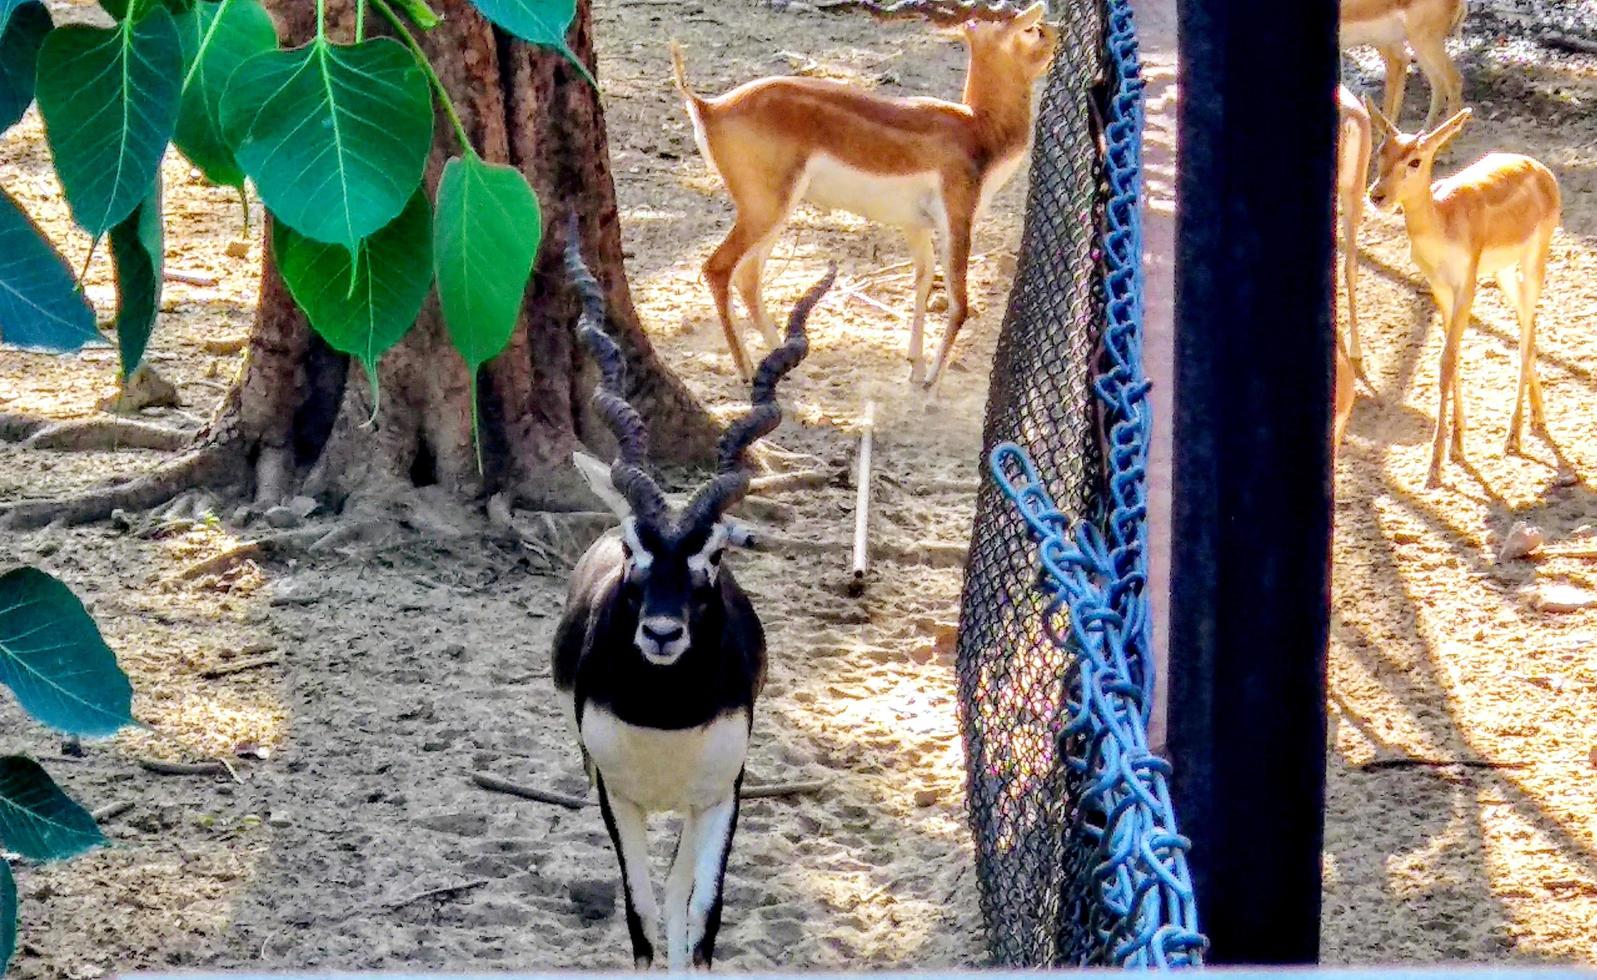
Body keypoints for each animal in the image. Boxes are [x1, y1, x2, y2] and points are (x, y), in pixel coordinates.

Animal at [555, 233, 836, 976]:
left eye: (714, 555)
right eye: (633, 547)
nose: (660, 633)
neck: (665, 713)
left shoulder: (720, 796)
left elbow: (701, 916)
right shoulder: (615, 793)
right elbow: (642, 919)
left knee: (683, 891)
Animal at [670, 0, 1060, 391]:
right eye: (1031, 29)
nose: (1056, 33)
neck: (979, 128)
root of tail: (710, 107)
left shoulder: (915, 226)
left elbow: (922, 280)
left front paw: (914, 365)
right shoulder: (957, 216)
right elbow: (959, 302)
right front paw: (931, 382)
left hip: (776, 211)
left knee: (748, 277)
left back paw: (784, 362)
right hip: (766, 208)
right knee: (719, 268)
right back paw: (747, 370)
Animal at [1367, 106, 1565, 488]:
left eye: (1415, 160)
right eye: (1381, 151)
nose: (1377, 195)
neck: (1442, 222)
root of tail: (1540, 169)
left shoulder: (1466, 287)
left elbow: (1446, 361)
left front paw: (1434, 468)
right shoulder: (1440, 288)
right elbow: (1452, 357)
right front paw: (1457, 447)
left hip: (1534, 260)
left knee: (1526, 330)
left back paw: (1513, 435)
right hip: (1503, 272)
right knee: (1527, 322)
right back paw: (1537, 418)